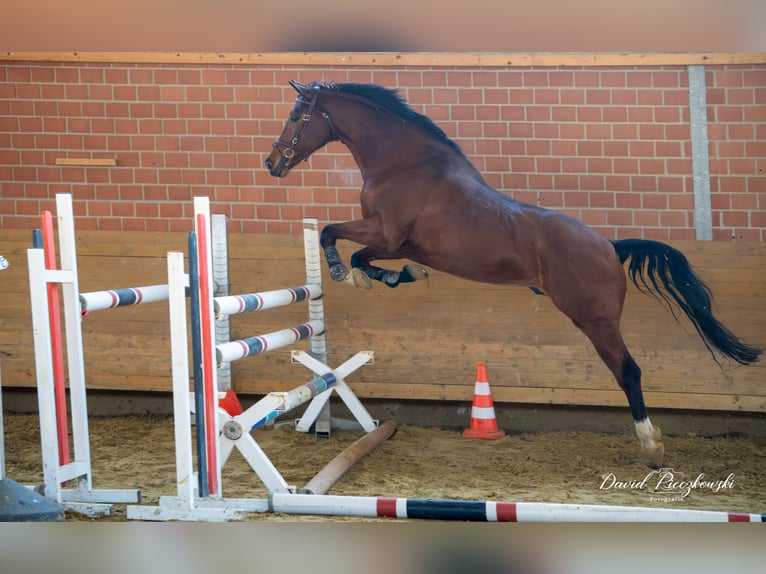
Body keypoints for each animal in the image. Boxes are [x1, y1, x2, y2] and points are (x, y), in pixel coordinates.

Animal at [264, 80, 761, 467]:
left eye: (295, 115)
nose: (272, 163)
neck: (404, 163)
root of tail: (608, 246)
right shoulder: (394, 242)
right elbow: (364, 257)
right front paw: (393, 277)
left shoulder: (386, 233)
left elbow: (334, 236)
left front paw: (344, 271)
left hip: (594, 320)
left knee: (629, 371)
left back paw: (651, 446)